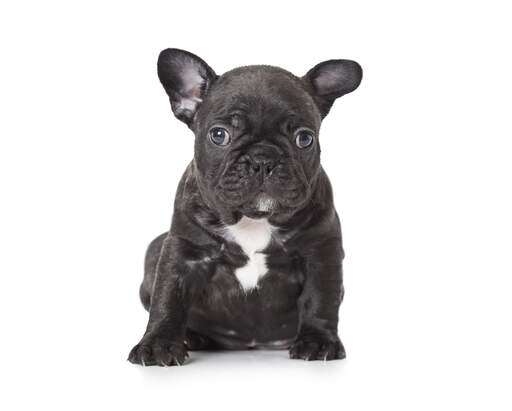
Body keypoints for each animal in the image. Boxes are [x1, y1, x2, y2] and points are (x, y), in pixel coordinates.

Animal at [128, 48, 362, 366]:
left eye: (304, 138)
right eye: (219, 135)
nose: (263, 159)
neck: (254, 219)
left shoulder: (321, 252)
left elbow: (320, 299)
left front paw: (318, 341)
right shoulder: (183, 252)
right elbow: (168, 297)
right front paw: (158, 344)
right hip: (155, 247)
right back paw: (193, 337)